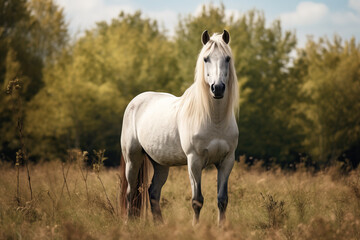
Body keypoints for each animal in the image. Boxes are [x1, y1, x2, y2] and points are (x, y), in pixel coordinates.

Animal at [120, 29, 239, 225]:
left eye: (227, 58)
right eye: (206, 58)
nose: (218, 88)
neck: (215, 120)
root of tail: (135, 102)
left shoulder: (227, 161)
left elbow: (222, 199)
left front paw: (222, 227)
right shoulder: (194, 161)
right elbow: (197, 200)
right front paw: (195, 227)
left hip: (160, 163)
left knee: (153, 192)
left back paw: (160, 225)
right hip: (132, 158)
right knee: (130, 192)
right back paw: (128, 223)